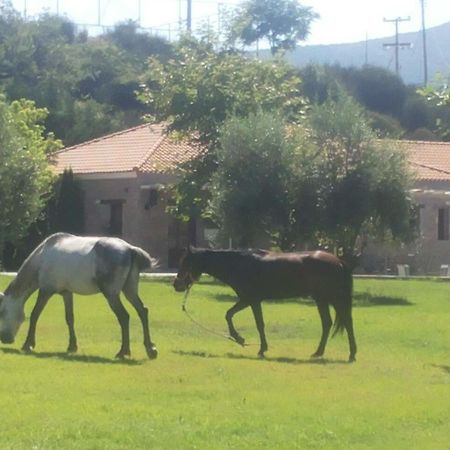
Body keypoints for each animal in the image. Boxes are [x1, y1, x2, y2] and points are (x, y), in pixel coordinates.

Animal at [174, 246, 356, 362]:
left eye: (186, 262)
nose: (177, 284)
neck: (240, 265)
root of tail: (339, 261)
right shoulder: (247, 300)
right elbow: (229, 314)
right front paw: (241, 339)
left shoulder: (251, 300)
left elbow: (257, 323)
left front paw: (254, 346)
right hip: (322, 300)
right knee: (327, 323)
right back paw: (318, 352)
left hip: (333, 299)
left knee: (346, 322)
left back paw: (351, 354)